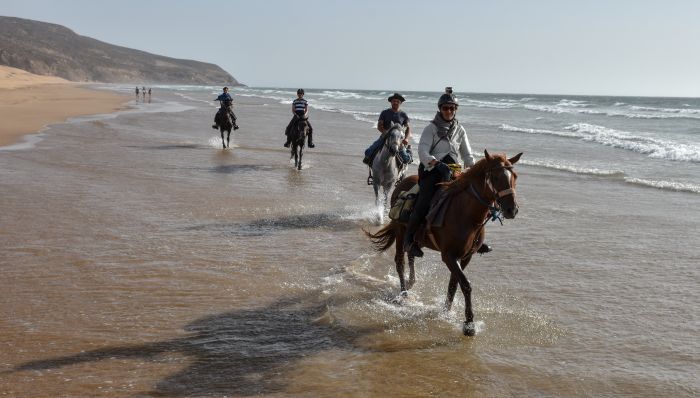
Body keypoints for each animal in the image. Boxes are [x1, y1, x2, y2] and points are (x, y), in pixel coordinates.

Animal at [366, 150, 520, 336]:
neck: (466, 215)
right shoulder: (449, 256)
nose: (512, 209)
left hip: (418, 239)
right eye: (496, 177)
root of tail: (401, 183)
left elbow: (454, 284)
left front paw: (446, 310)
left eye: (515, 177)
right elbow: (466, 285)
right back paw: (403, 294)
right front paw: (469, 324)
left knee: (411, 253)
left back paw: (411, 282)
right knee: (400, 261)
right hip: (400, 232)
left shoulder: (465, 257)